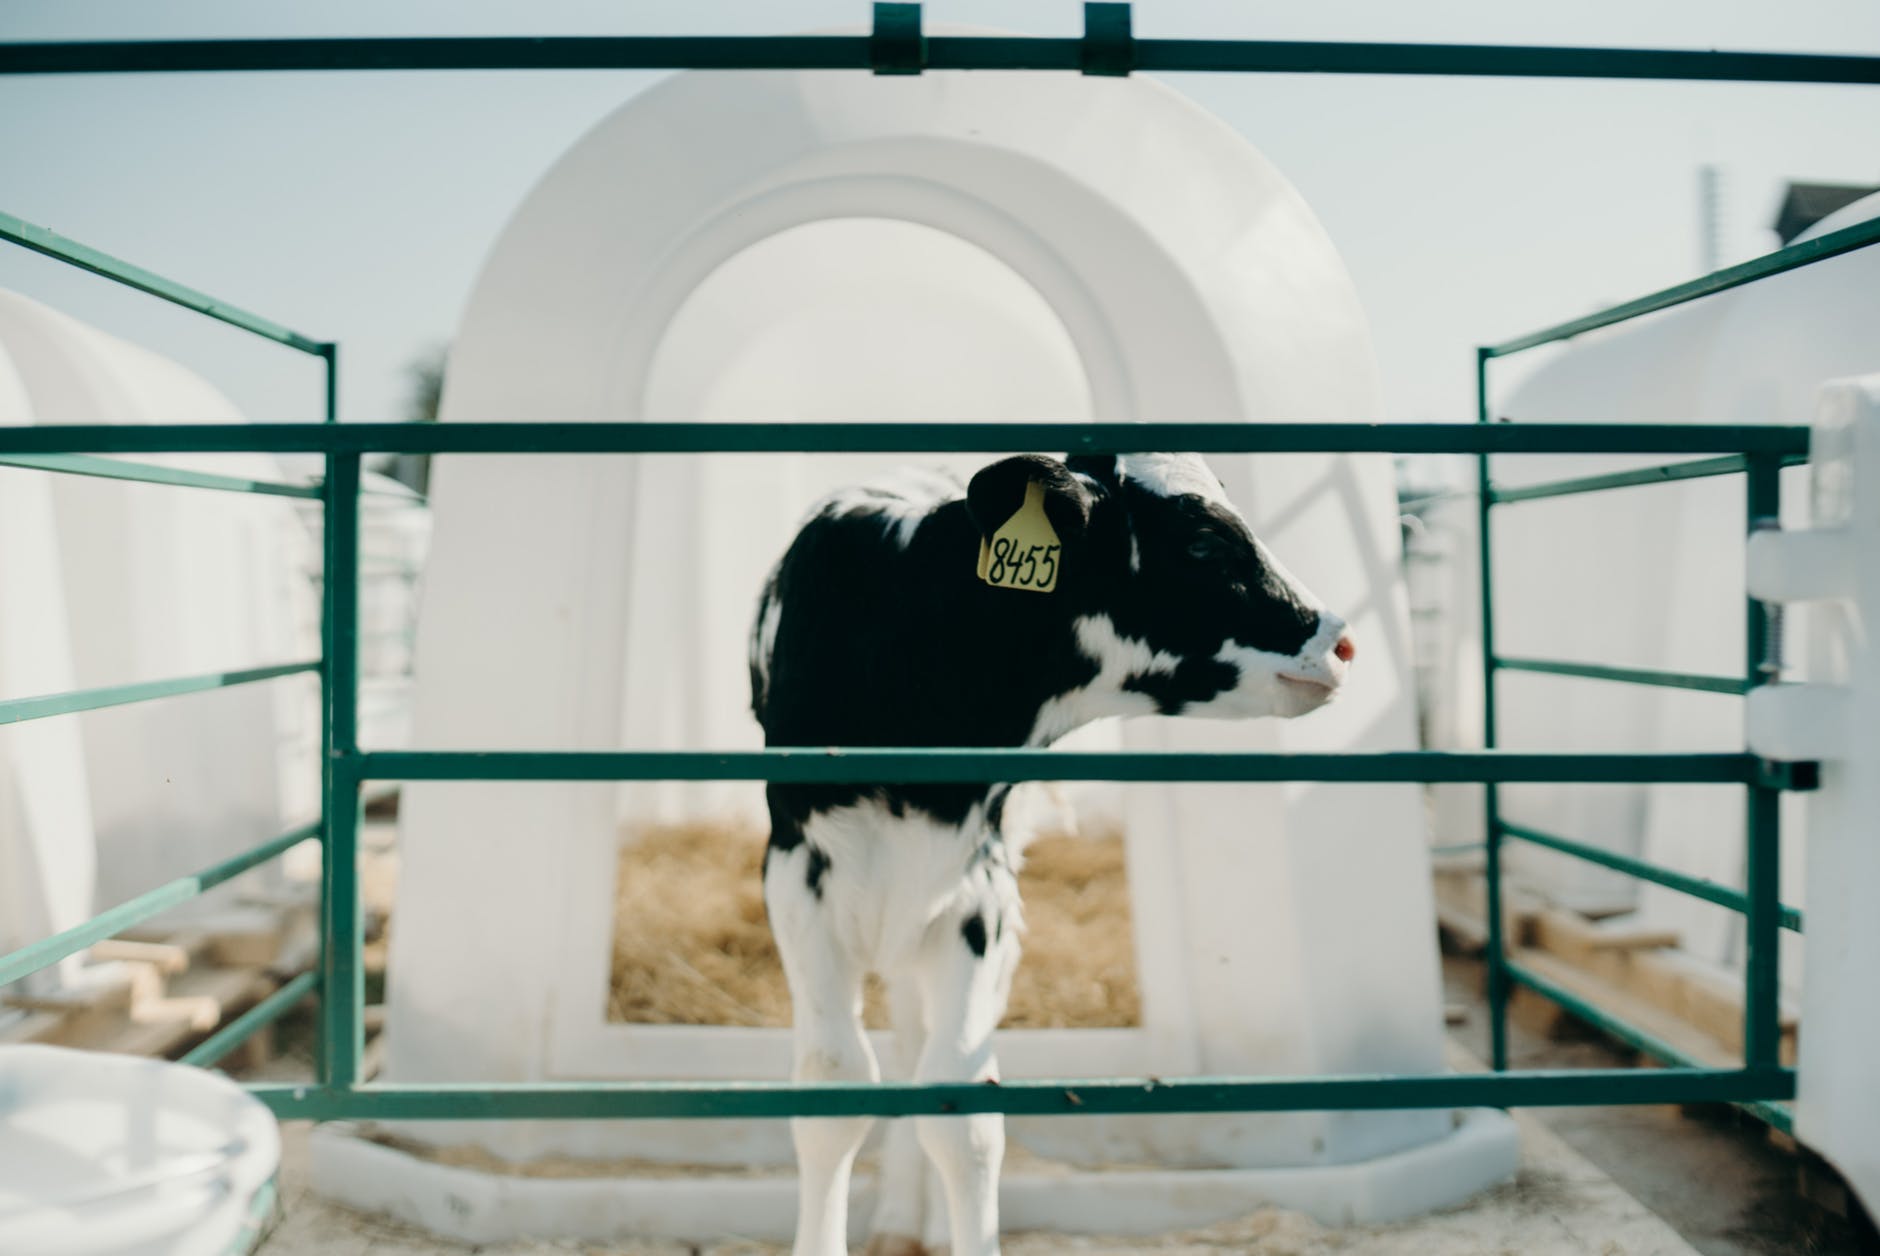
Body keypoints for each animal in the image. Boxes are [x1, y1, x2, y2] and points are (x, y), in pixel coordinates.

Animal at [750, 452, 1355, 1256]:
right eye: (1201, 543)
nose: (1341, 642)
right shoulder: (797, 881)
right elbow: (832, 1089)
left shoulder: (978, 896)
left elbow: (963, 1110)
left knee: (920, 1042)